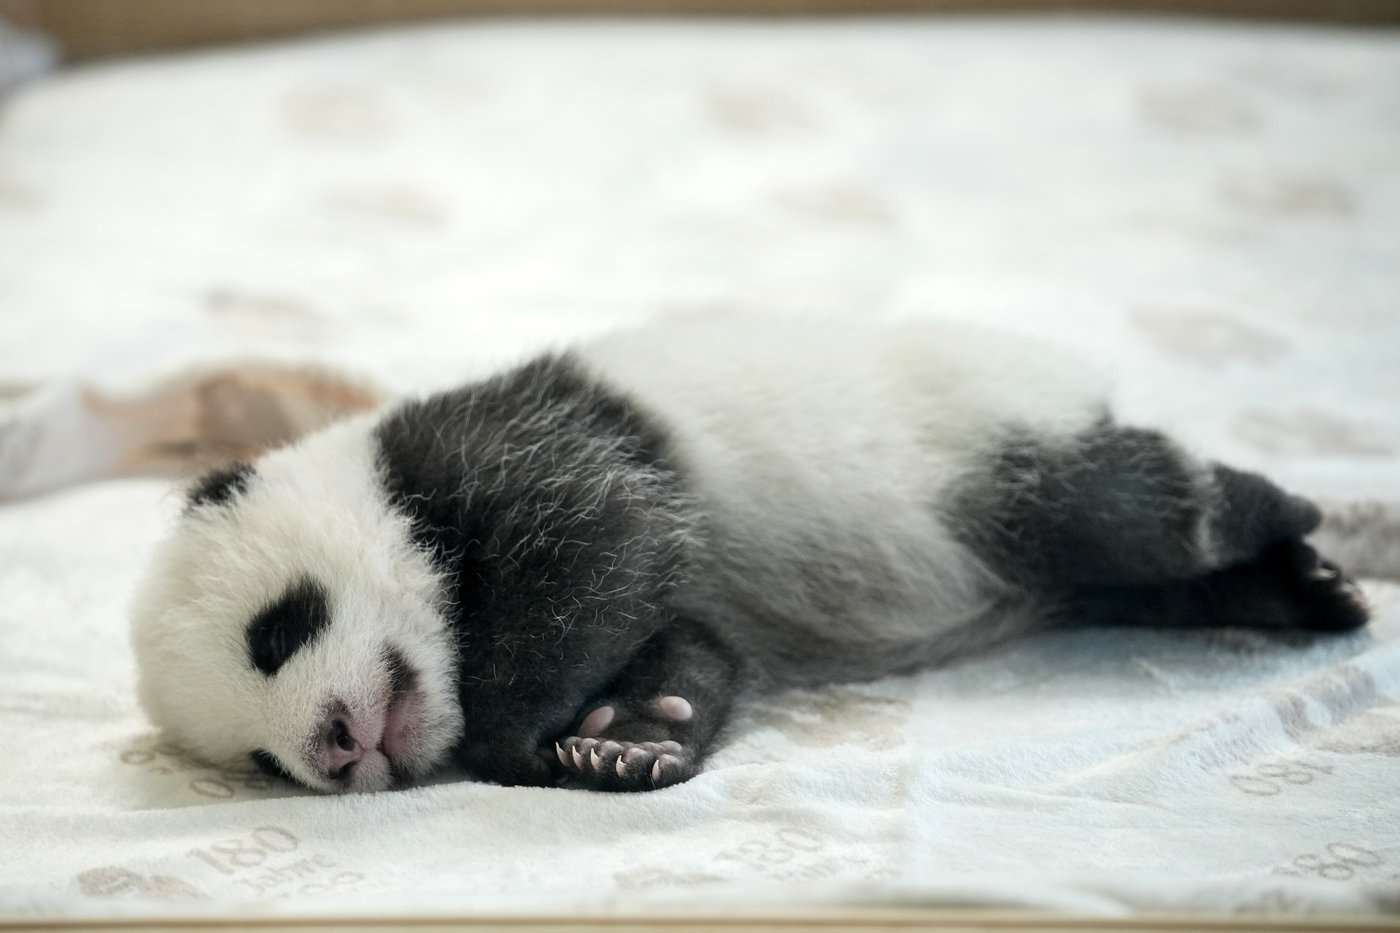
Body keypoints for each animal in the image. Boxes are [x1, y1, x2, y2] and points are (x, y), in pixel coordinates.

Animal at [129, 315, 1374, 795]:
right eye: (259, 764)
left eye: (277, 629)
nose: (335, 749)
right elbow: (691, 645)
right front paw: (630, 738)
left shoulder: (512, 453)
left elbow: (605, 538)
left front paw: (519, 731)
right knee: (1126, 570)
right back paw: (1293, 588)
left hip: (970, 436)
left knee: (1126, 504)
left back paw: (1275, 516)